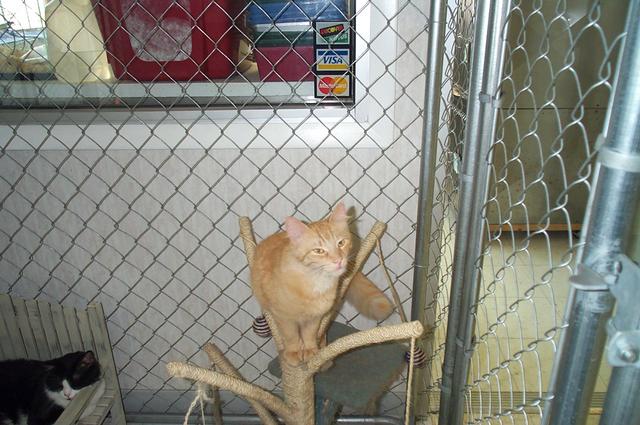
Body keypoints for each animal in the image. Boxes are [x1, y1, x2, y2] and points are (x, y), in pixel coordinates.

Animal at [251, 202, 394, 366]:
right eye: (318, 251)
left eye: (341, 243)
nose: (338, 260)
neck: (317, 282)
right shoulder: (284, 317)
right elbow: (291, 336)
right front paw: (294, 352)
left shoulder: (315, 317)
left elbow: (309, 334)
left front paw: (310, 350)